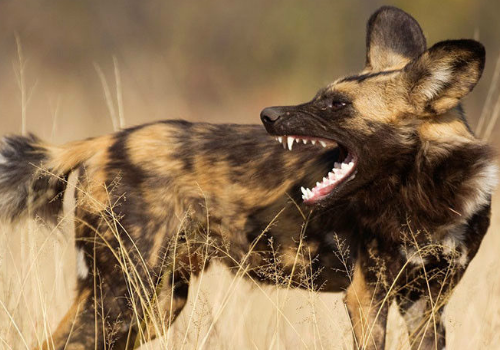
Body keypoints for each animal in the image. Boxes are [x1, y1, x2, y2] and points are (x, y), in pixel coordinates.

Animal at [0, 5, 494, 350]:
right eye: (323, 95)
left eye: (338, 105)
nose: (268, 114)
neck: (426, 196)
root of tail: (103, 140)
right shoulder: (368, 297)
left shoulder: (426, 305)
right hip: (122, 297)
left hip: (154, 303)